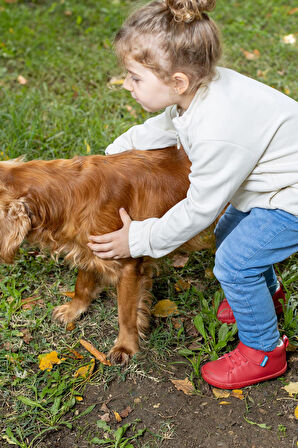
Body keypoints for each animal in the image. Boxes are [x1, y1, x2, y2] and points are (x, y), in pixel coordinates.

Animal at [0, 147, 215, 364]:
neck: (70, 192)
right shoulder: (90, 249)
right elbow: (82, 284)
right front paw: (73, 309)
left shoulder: (127, 265)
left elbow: (126, 313)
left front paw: (125, 346)